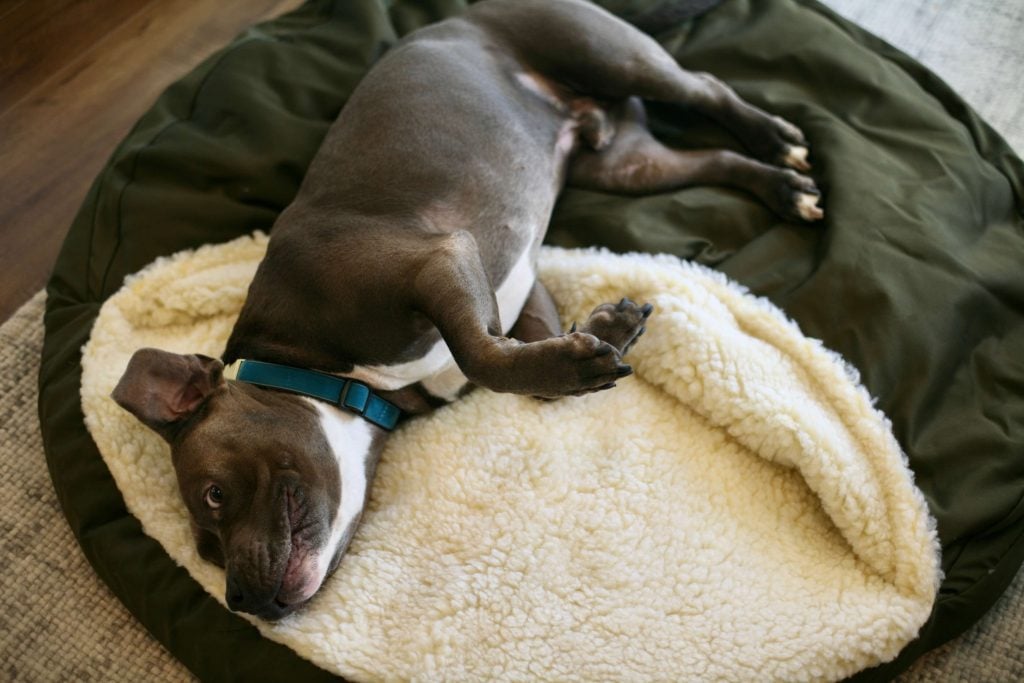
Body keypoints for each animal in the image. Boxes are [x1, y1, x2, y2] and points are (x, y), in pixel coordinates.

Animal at [112, 0, 823, 622]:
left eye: (214, 495)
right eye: (205, 551)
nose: (242, 602)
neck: (326, 371)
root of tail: (469, 11)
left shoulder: (438, 261)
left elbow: (483, 357)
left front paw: (573, 362)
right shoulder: (516, 289)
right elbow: (523, 355)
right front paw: (603, 335)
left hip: (617, 58)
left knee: (706, 88)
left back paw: (776, 138)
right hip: (627, 164)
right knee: (712, 159)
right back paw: (783, 187)